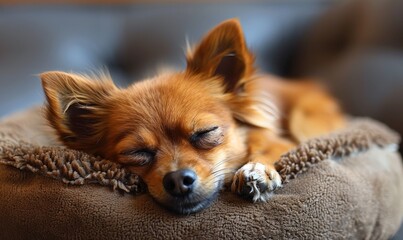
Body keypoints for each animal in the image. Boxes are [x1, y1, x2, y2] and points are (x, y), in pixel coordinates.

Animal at [40, 19, 344, 214]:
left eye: (206, 132)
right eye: (137, 152)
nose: (177, 179)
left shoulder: (277, 139)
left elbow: (266, 146)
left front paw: (257, 170)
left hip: (305, 120)